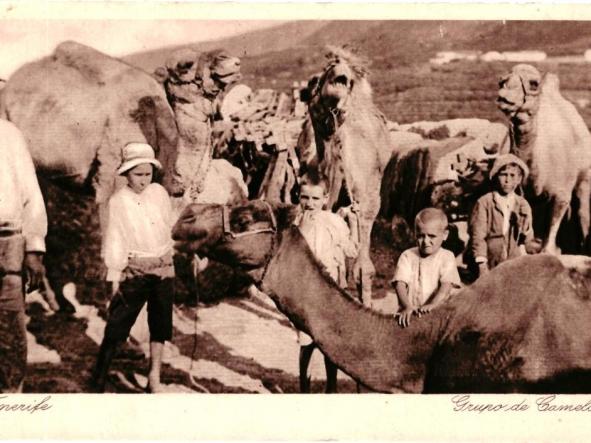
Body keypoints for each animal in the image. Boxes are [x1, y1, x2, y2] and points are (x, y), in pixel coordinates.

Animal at [498, 64, 591, 255]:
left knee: (582, 208)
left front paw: (549, 251)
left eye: (533, 84)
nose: (504, 96)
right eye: (502, 81)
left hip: (585, 173)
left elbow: (554, 222)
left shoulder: (561, 192)